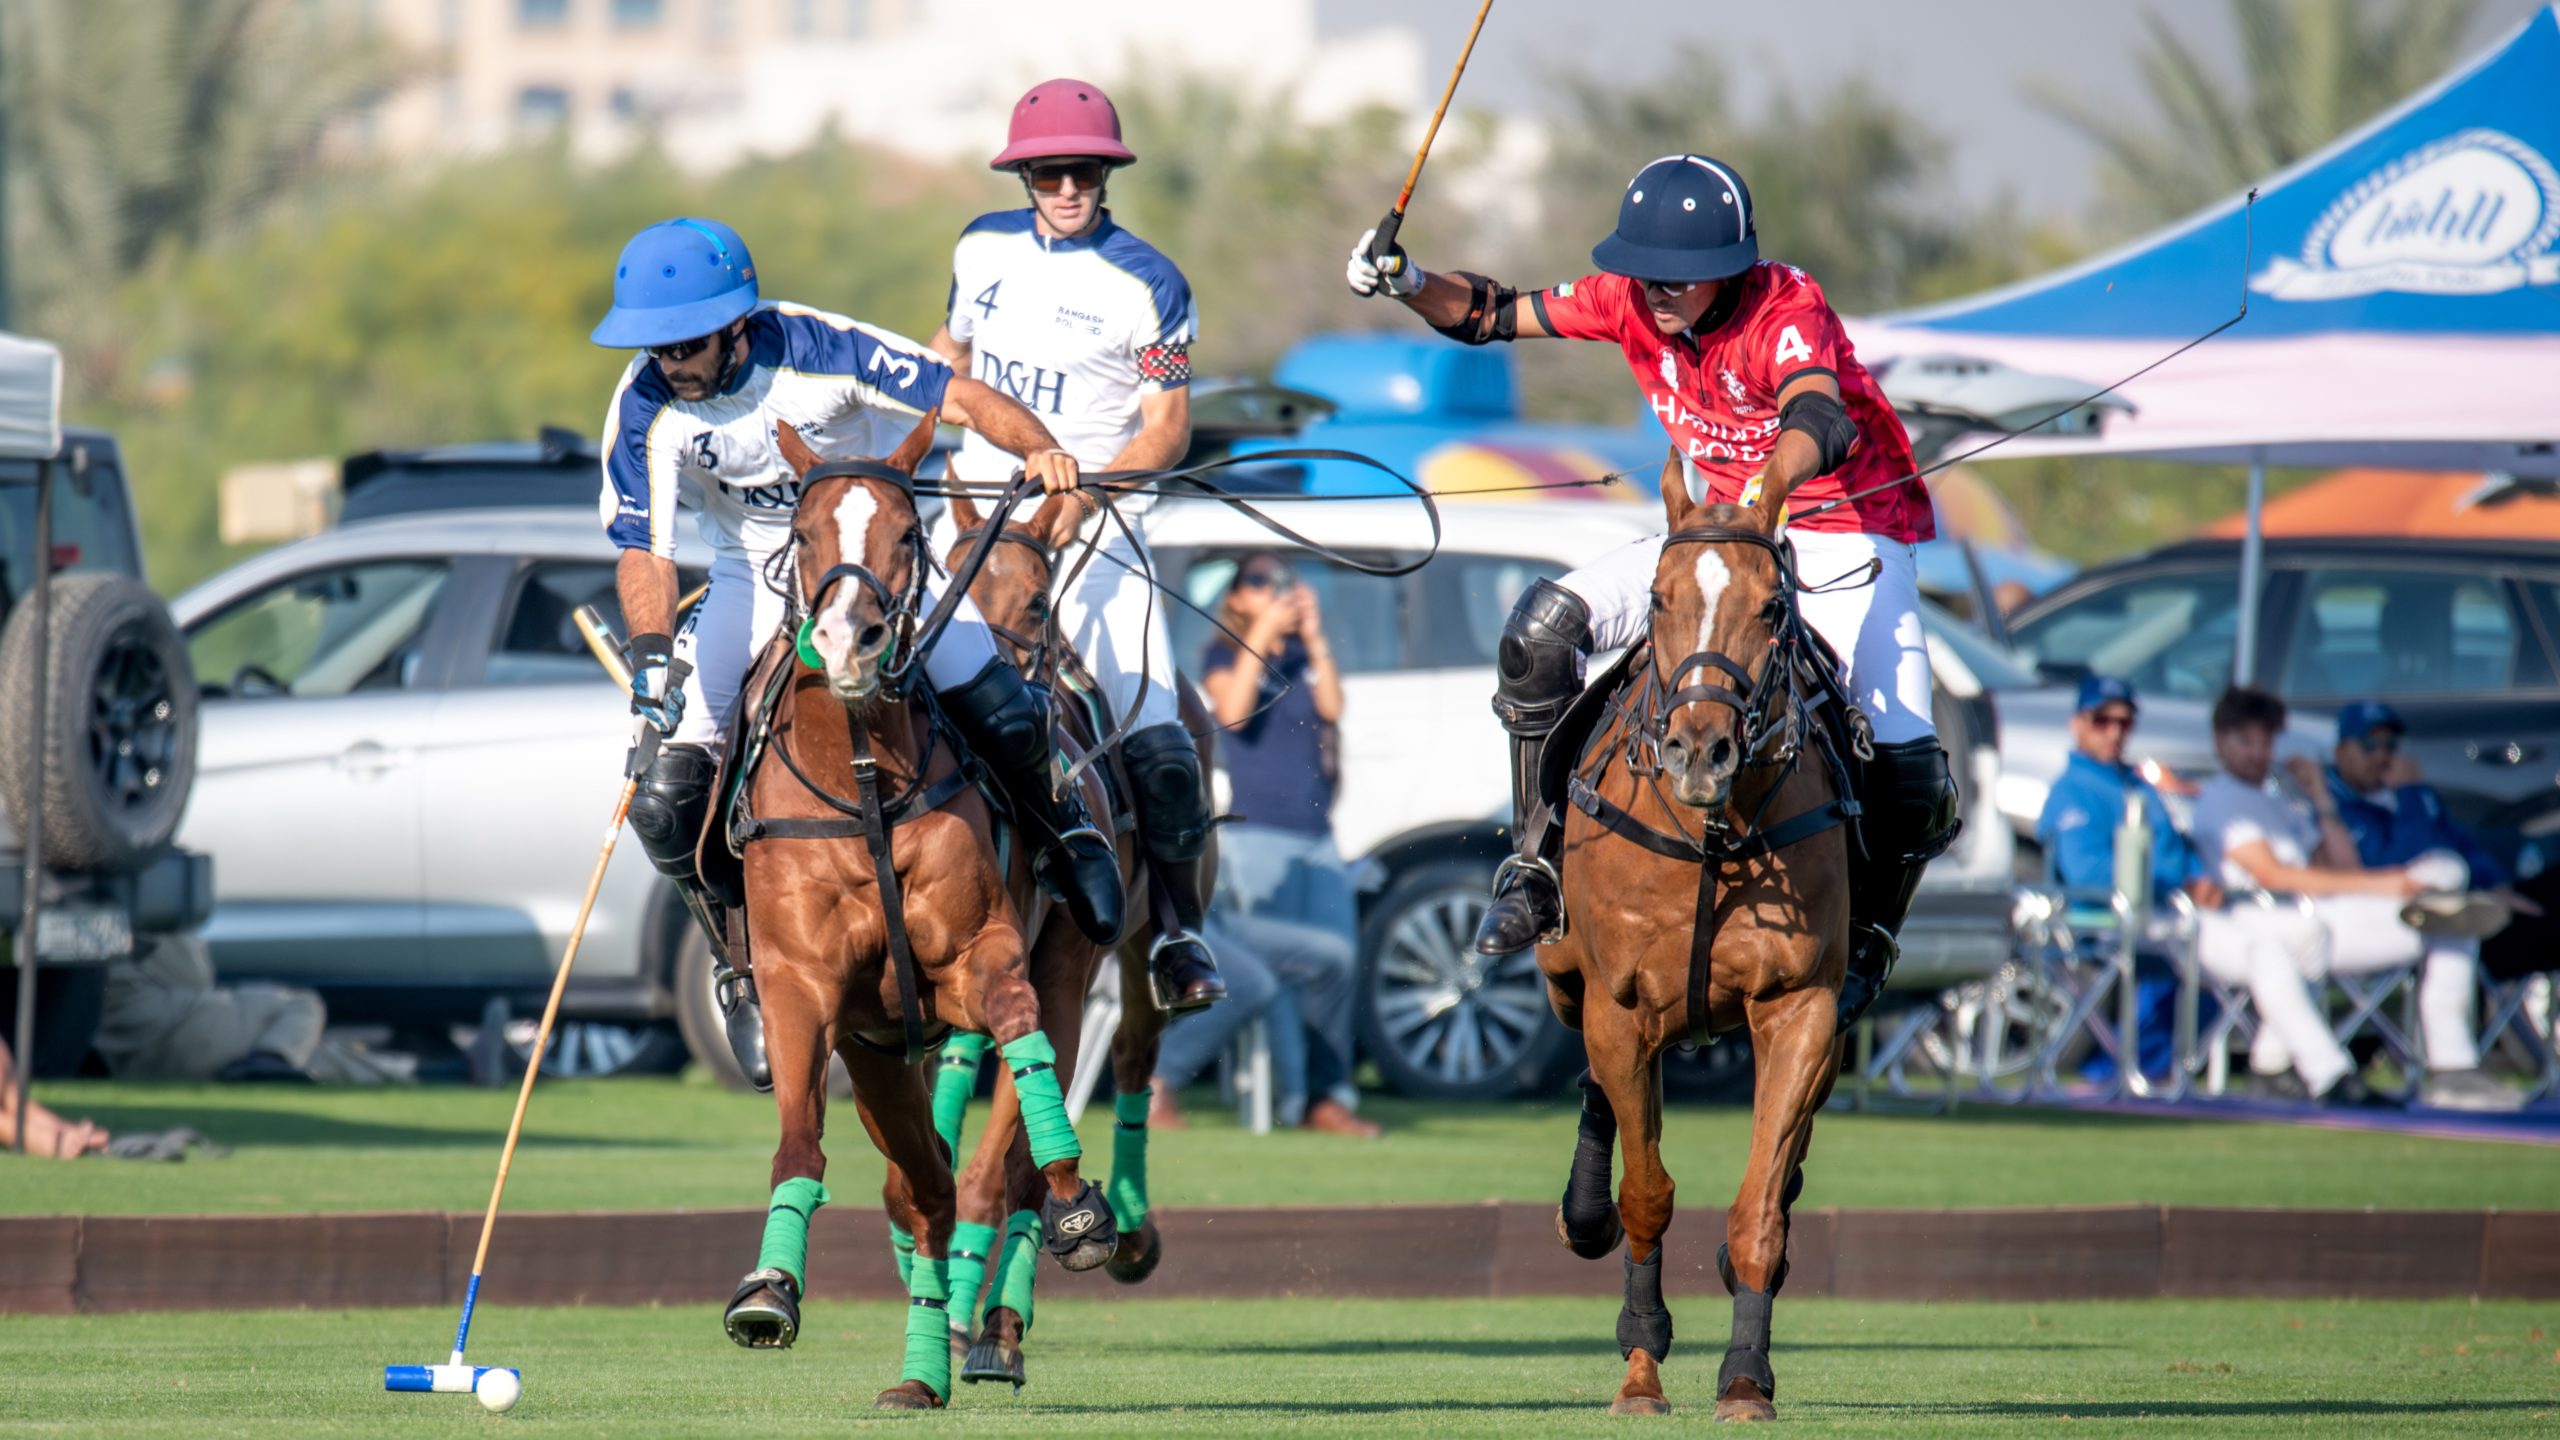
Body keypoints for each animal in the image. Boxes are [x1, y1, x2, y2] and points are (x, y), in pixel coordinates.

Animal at [721, 415, 1121, 1404]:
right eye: (800, 533)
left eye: (908, 534)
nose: (849, 642)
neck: (863, 779)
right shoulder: (804, 991)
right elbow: (800, 1145)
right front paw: (769, 1289)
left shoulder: (985, 955)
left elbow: (1015, 1038)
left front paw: (1078, 1204)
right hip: (877, 1056)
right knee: (925, 1189)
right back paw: (922, 1369)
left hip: (1066, 972)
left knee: (999, 1166)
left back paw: (997, 1316)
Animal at [936, 486, 1213, 1383]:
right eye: (947, 582)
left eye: (1033, 600)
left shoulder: (1061, 969)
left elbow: (1012, 1166)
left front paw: (995, 1331)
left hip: (1140, 939)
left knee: (1131, 1050)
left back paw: (1130, 1230)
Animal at [1525, 458, 1853, 1414]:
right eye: (1659, 598)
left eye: (1772, 607)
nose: (1698, 752)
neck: (1714, 832)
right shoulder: (1622, 1005)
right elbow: (1645, 1195)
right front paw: (1640, 1369)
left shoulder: (1802, 1009)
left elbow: (1759, 1207)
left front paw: (1745, 1376)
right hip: (1569, 979)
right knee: (1601, 1094)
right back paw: (1582, 1213)